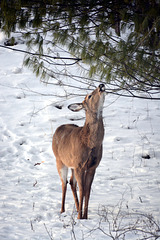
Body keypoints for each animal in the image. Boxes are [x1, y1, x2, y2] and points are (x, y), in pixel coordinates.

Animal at [52, 84, 105, 219]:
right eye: (89, 96)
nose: (101, 85)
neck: (90, 143)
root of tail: (57, 129)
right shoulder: (80, 165)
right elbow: (82, 190)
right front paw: (80, 217)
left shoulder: (92, 166)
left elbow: (87, 190)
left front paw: (85, 216)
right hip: (60, 161)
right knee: (64, 183)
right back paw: (62, 210)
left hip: (72, 166)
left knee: (71, 182)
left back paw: (76, 209)